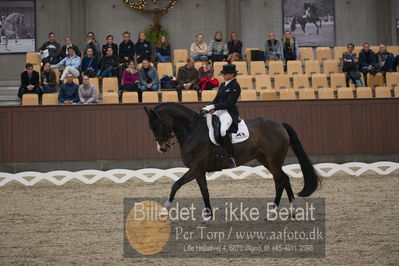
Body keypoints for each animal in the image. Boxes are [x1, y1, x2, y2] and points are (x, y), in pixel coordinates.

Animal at [144, 103, 322, 223]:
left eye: (157, 125)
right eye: (151, 127)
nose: (162, 148)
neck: (192, 130)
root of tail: (280, 124)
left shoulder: (196, 168)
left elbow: (176, 185)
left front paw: (164, 209)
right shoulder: (199, 171)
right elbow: (204, 192)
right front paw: (207, 217)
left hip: (273, 159)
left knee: (279, 181)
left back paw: (272, 214)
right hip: (265, 159)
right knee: (284, 178)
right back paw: (293, 209)